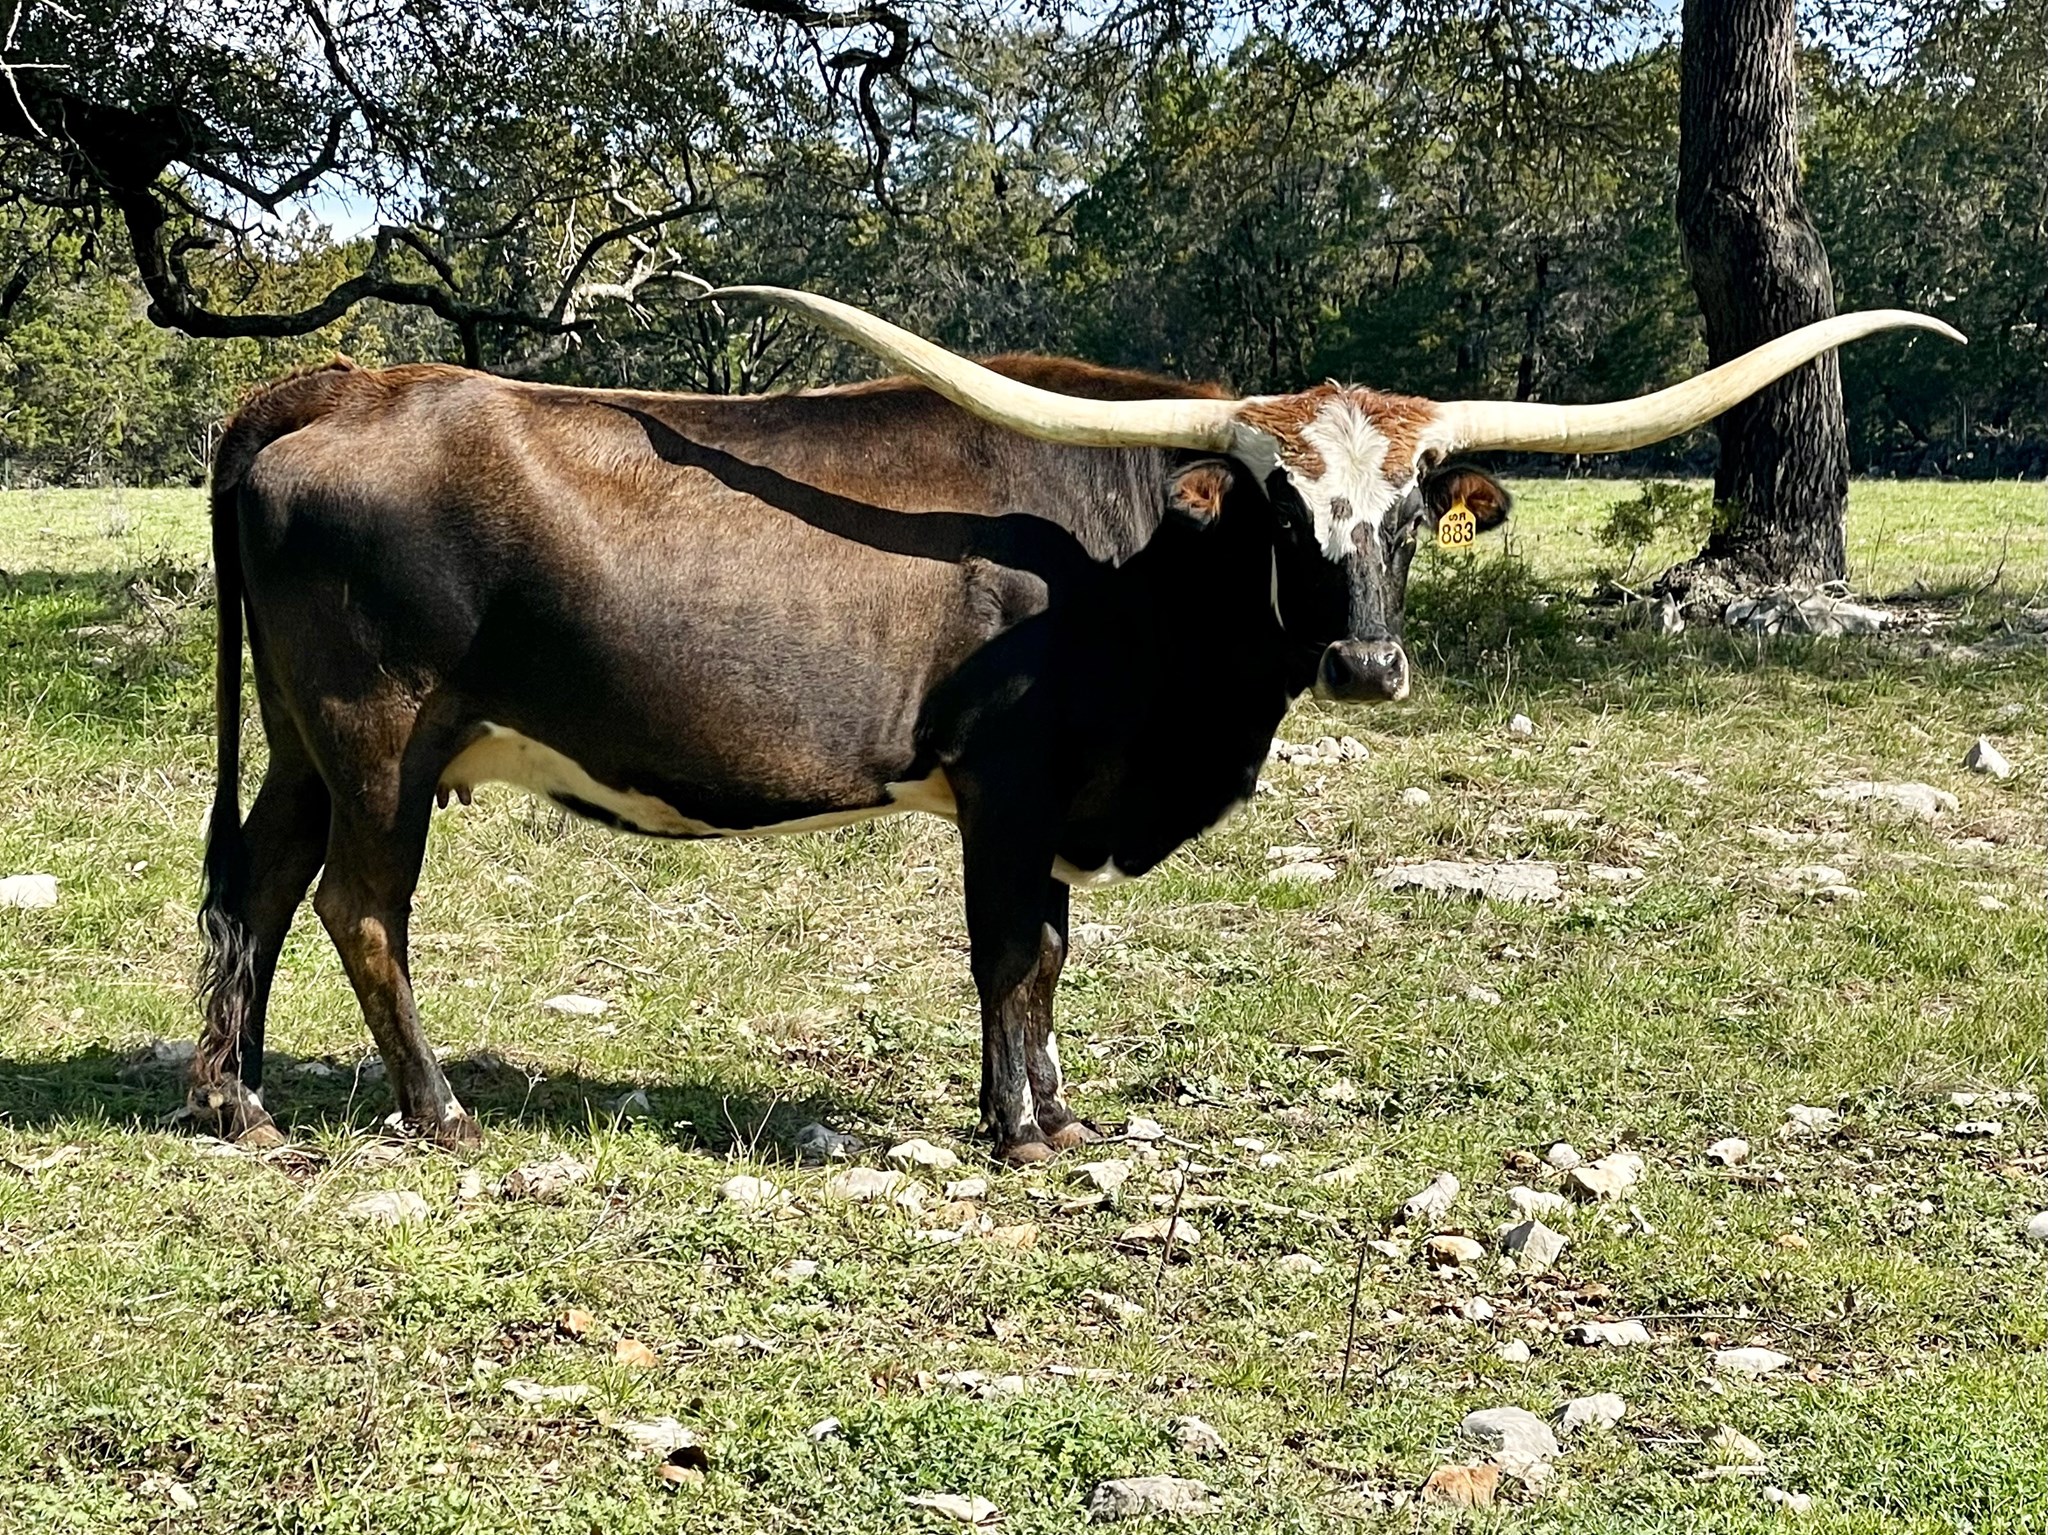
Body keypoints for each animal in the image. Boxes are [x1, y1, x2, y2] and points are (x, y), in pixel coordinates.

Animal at [190, 292, 1958, 1161]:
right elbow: (1012, 952)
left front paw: (1049, 1107)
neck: (1133, 563)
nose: (1367, 668)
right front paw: (1019, 1130)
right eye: (1280, 511)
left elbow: (1047, 957)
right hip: (380, 733)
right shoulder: (1009, 788)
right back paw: (433, 1108)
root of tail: (328, 384)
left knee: (253, 888)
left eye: (1405, 517)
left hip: (302, 741)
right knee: (359, 907)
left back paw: (241, 1097)